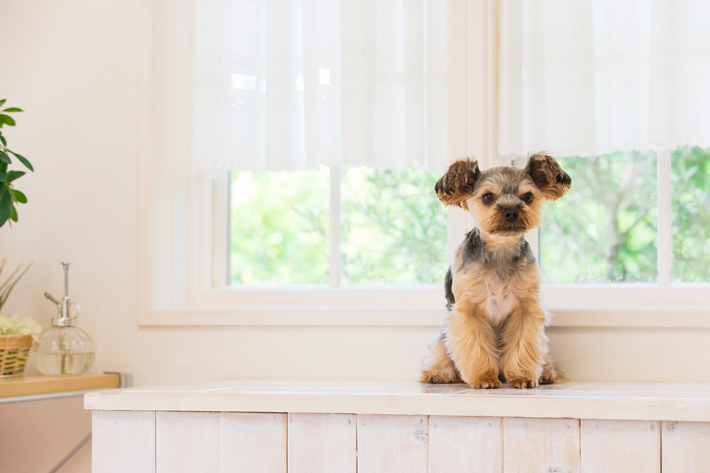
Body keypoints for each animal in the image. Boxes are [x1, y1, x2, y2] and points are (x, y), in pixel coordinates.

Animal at [422, 152, 572, 388]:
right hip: (444, 336)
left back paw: (545, 372)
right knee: (441, 350)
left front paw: (522, 376)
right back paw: (437, 373)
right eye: (487, 197)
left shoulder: (526, 309)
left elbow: (524, 343)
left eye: (528, 197)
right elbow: (475, 346)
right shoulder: (468, 311)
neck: (500, 250)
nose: (511, 212)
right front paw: (484, 377)